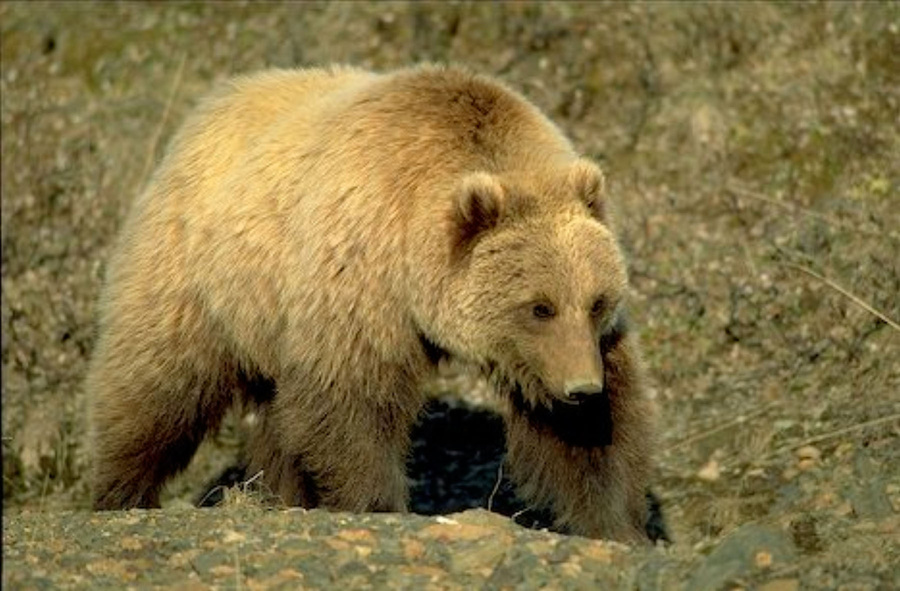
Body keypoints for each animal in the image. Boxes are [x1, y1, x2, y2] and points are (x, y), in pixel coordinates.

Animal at [86, 63, 652, 540]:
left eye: (597, 302)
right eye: (539, 307)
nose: (582, 388)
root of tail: (217, 102)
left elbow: (595, 431)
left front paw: (618, 523)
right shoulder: (363, 272)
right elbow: (353, 398)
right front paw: (377, 502)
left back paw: (278, 494)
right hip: (197, 275)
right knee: (158, 384)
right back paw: (120, 492)